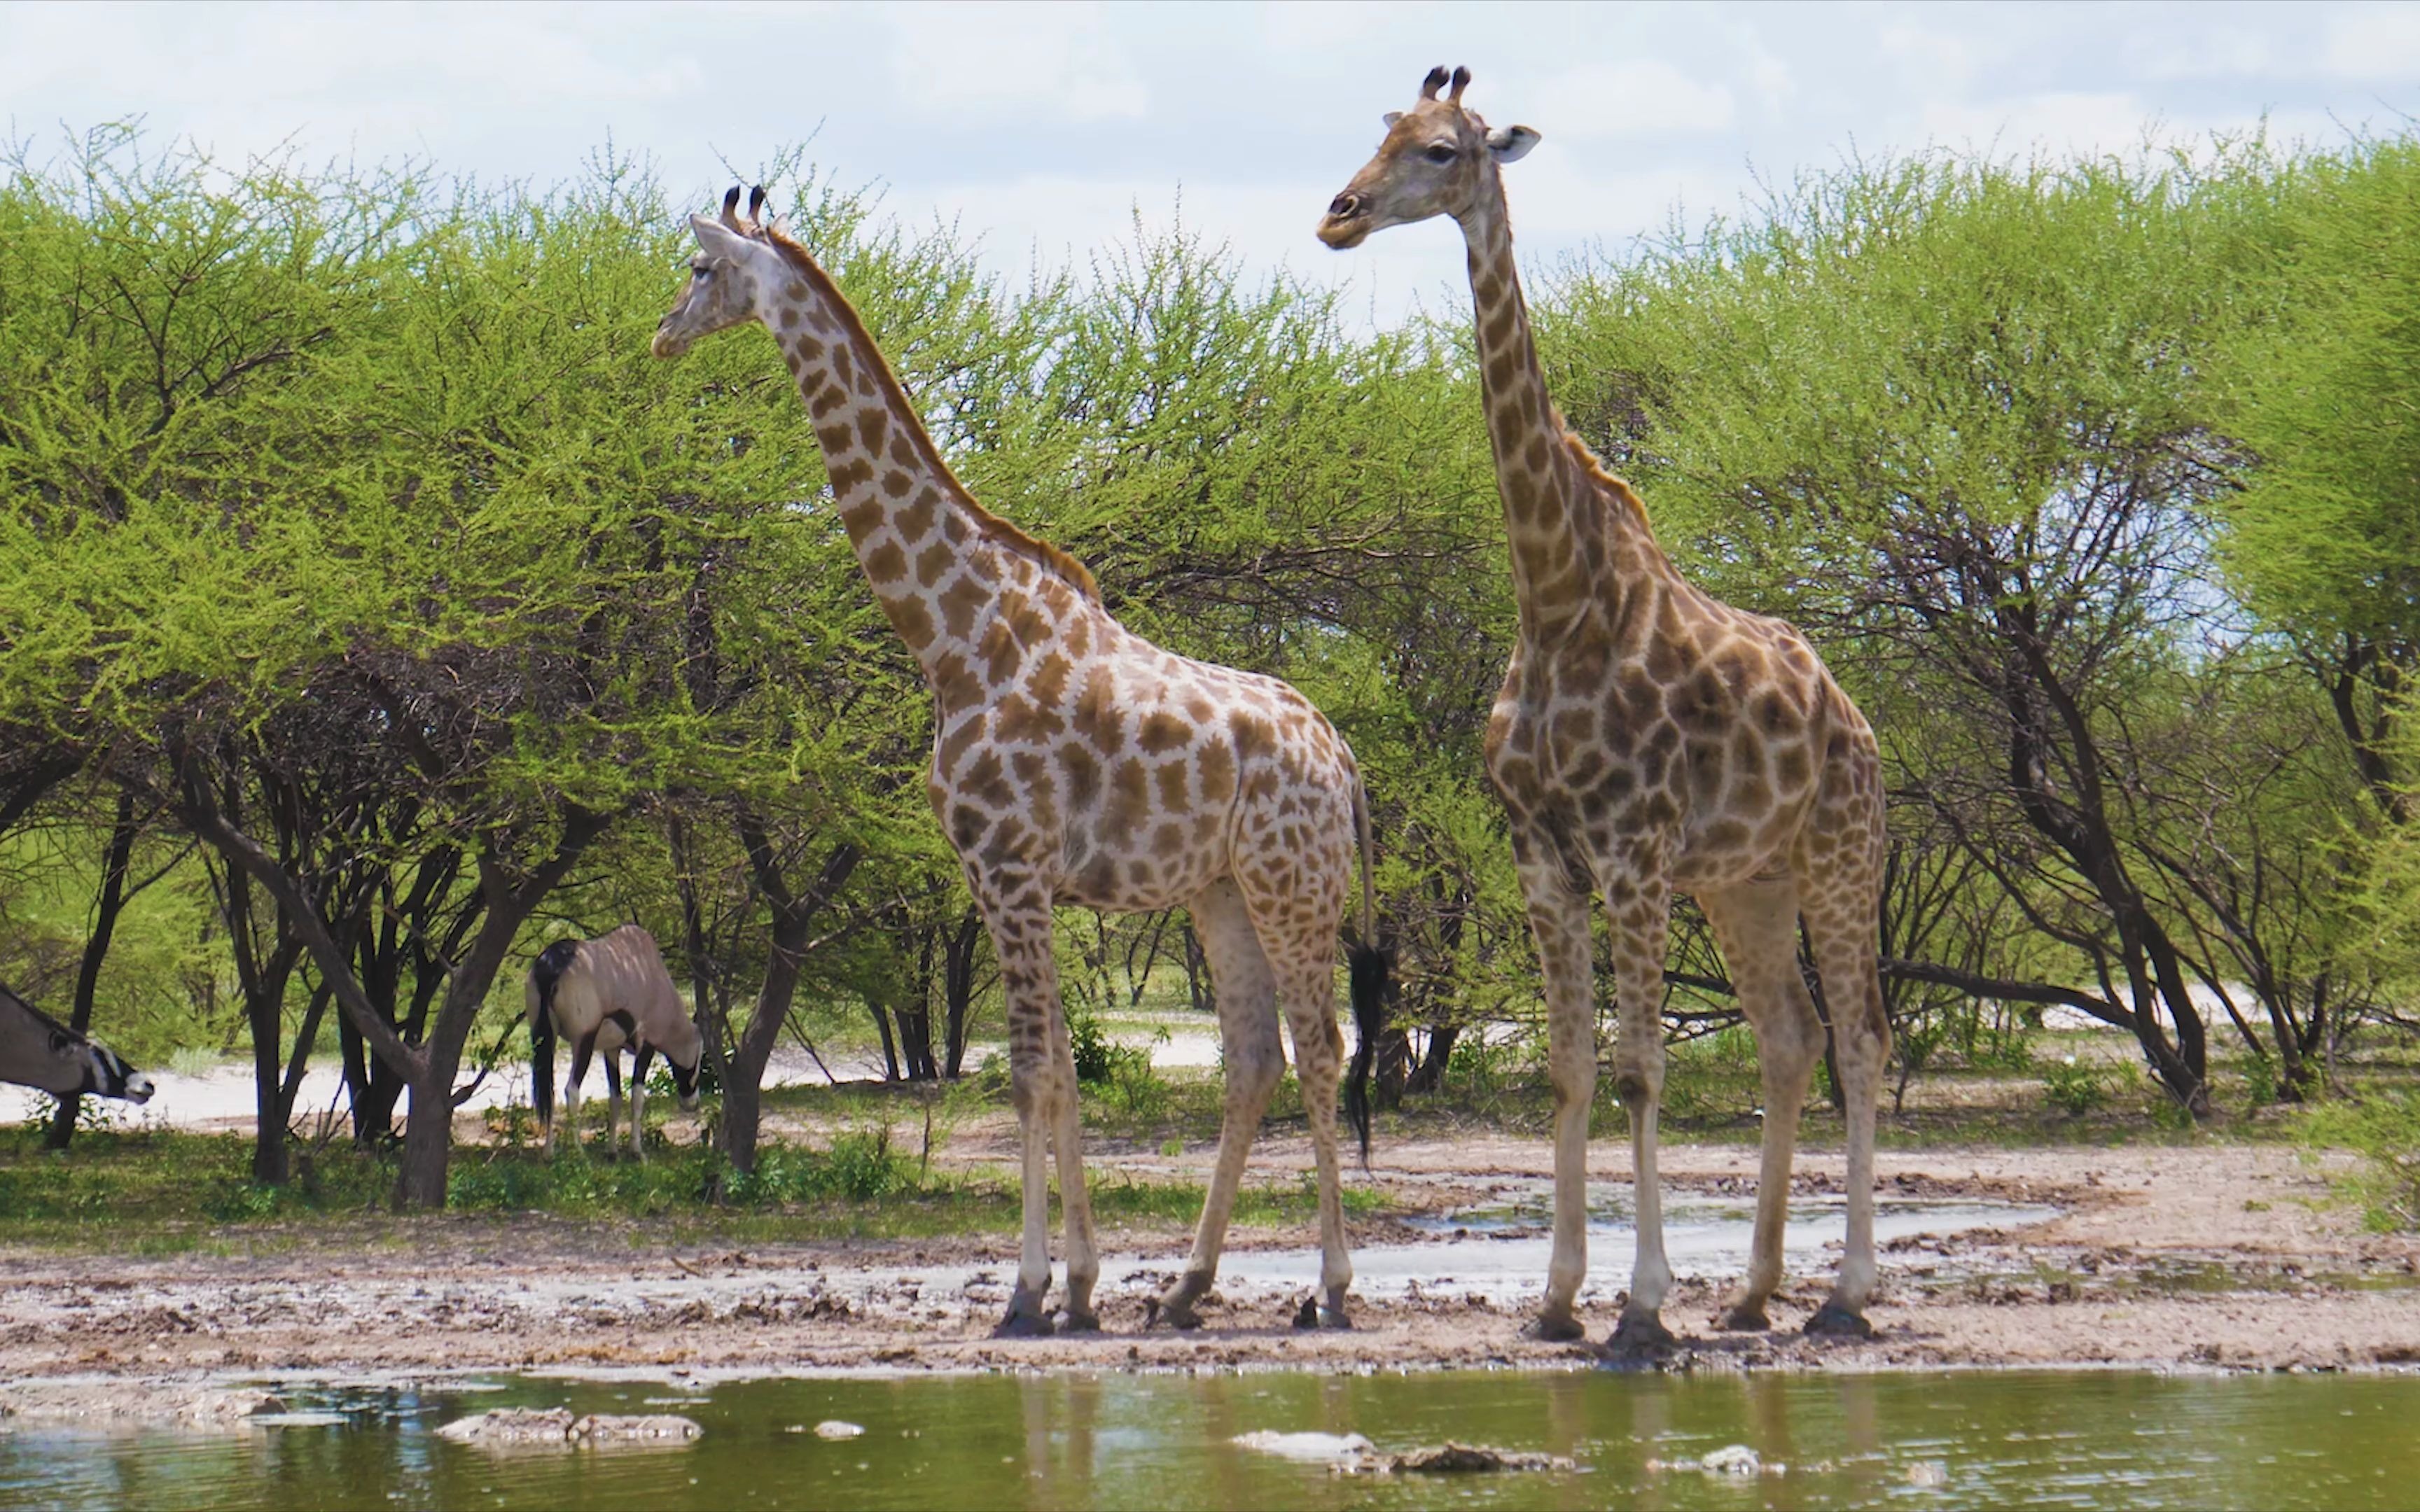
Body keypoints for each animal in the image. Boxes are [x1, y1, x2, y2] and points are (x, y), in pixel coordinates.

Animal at [653, 186, 1393, 1335]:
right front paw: (1081, 1287)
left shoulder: (1005, 868)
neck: (955, 635)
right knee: (1252, 1058)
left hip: (1292, 884)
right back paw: (1184, 1287)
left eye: (698, 269)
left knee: (1319, 1050)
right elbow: (1056, 1074)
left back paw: (1331, 1288)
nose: (659, 334)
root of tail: (1345, 756)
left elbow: (1032, 1071)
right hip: (1221, 889)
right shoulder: (1014, 880)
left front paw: (1031, 1289)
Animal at [1326, 67, 1887, 1345]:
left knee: (1863, 1042)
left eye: (1441, 151)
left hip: (1839, 858)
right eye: (1377, 134)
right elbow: (1571, 1069)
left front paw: (1640, 1305)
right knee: (1790, 1040)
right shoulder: (1543, 853)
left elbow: (1639, 1068)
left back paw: (1846, 1295)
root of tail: (1857, 722)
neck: (1555, 599)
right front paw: (1555, 1301)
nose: (1339, 214)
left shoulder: (1632, 851)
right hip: (1746, 881)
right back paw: (1756, 1293)